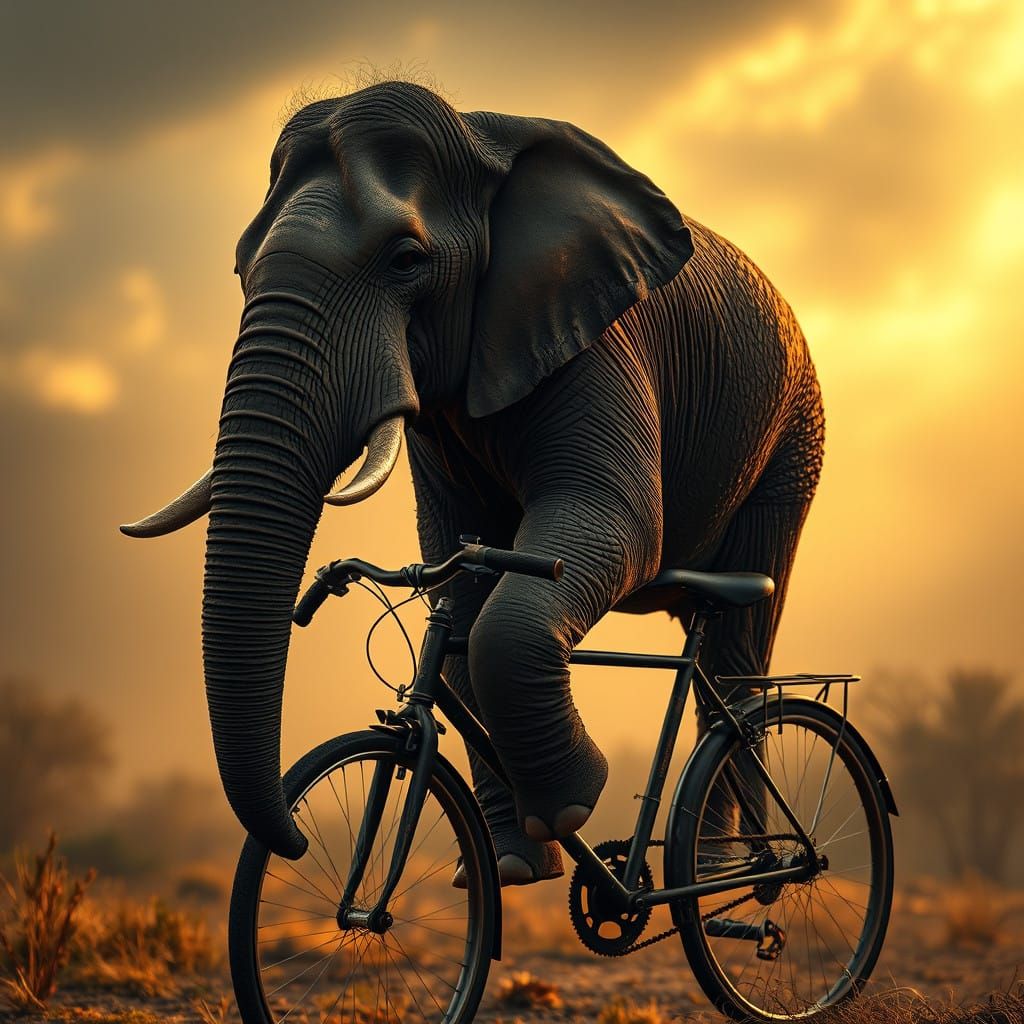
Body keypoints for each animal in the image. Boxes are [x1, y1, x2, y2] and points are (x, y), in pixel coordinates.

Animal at [122, 81, 824, 886]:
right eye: (241, 273)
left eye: (405, 261)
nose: (293, 841)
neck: (480, 145)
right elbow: (458, 587)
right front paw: (512, 867)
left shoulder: (594, 336)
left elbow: (610, 527)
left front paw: (574, 803)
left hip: (792, 441)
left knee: (734, 664)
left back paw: (725, 873)